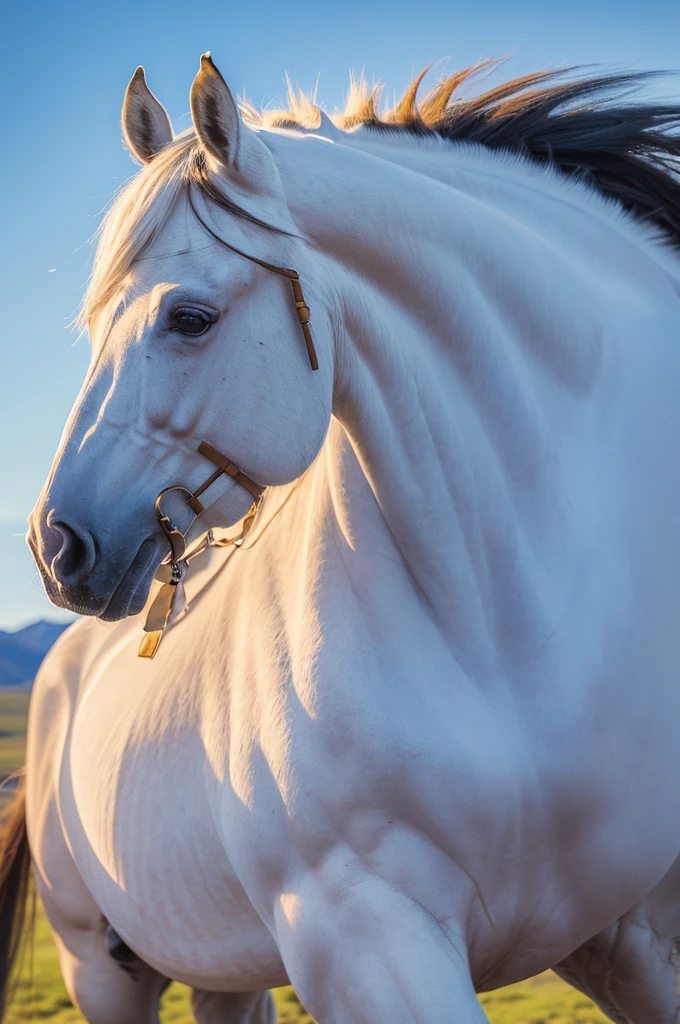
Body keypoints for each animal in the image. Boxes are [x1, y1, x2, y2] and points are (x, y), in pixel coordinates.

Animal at [3, 54, 680, 1024]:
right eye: (94, 326)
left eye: (189, 319)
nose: (56, 547)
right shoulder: (368, 944)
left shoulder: (637, 940)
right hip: (99, 970)